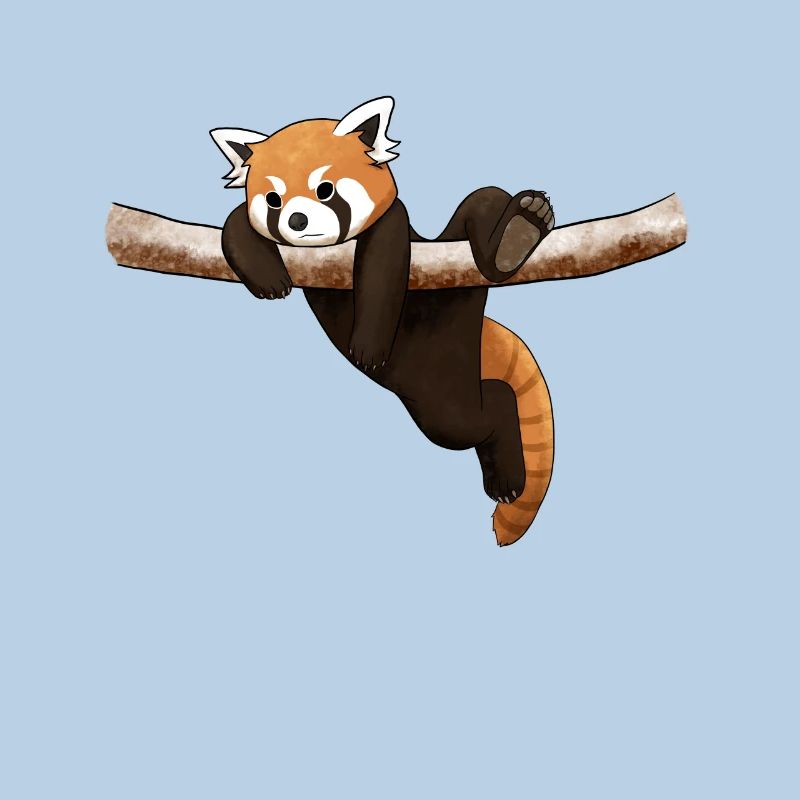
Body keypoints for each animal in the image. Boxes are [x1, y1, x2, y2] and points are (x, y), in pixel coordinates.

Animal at [211, 97, 555, 546]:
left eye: (325, 190)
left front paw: (368, 346)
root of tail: (478, 330)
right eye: (273, 199)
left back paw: (516, 235)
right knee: (462, 418)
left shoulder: (392, 227)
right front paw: (268, 277)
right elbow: (236, 223)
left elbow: (382, 264)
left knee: (484, 201)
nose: (297, 221)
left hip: (453, 316)